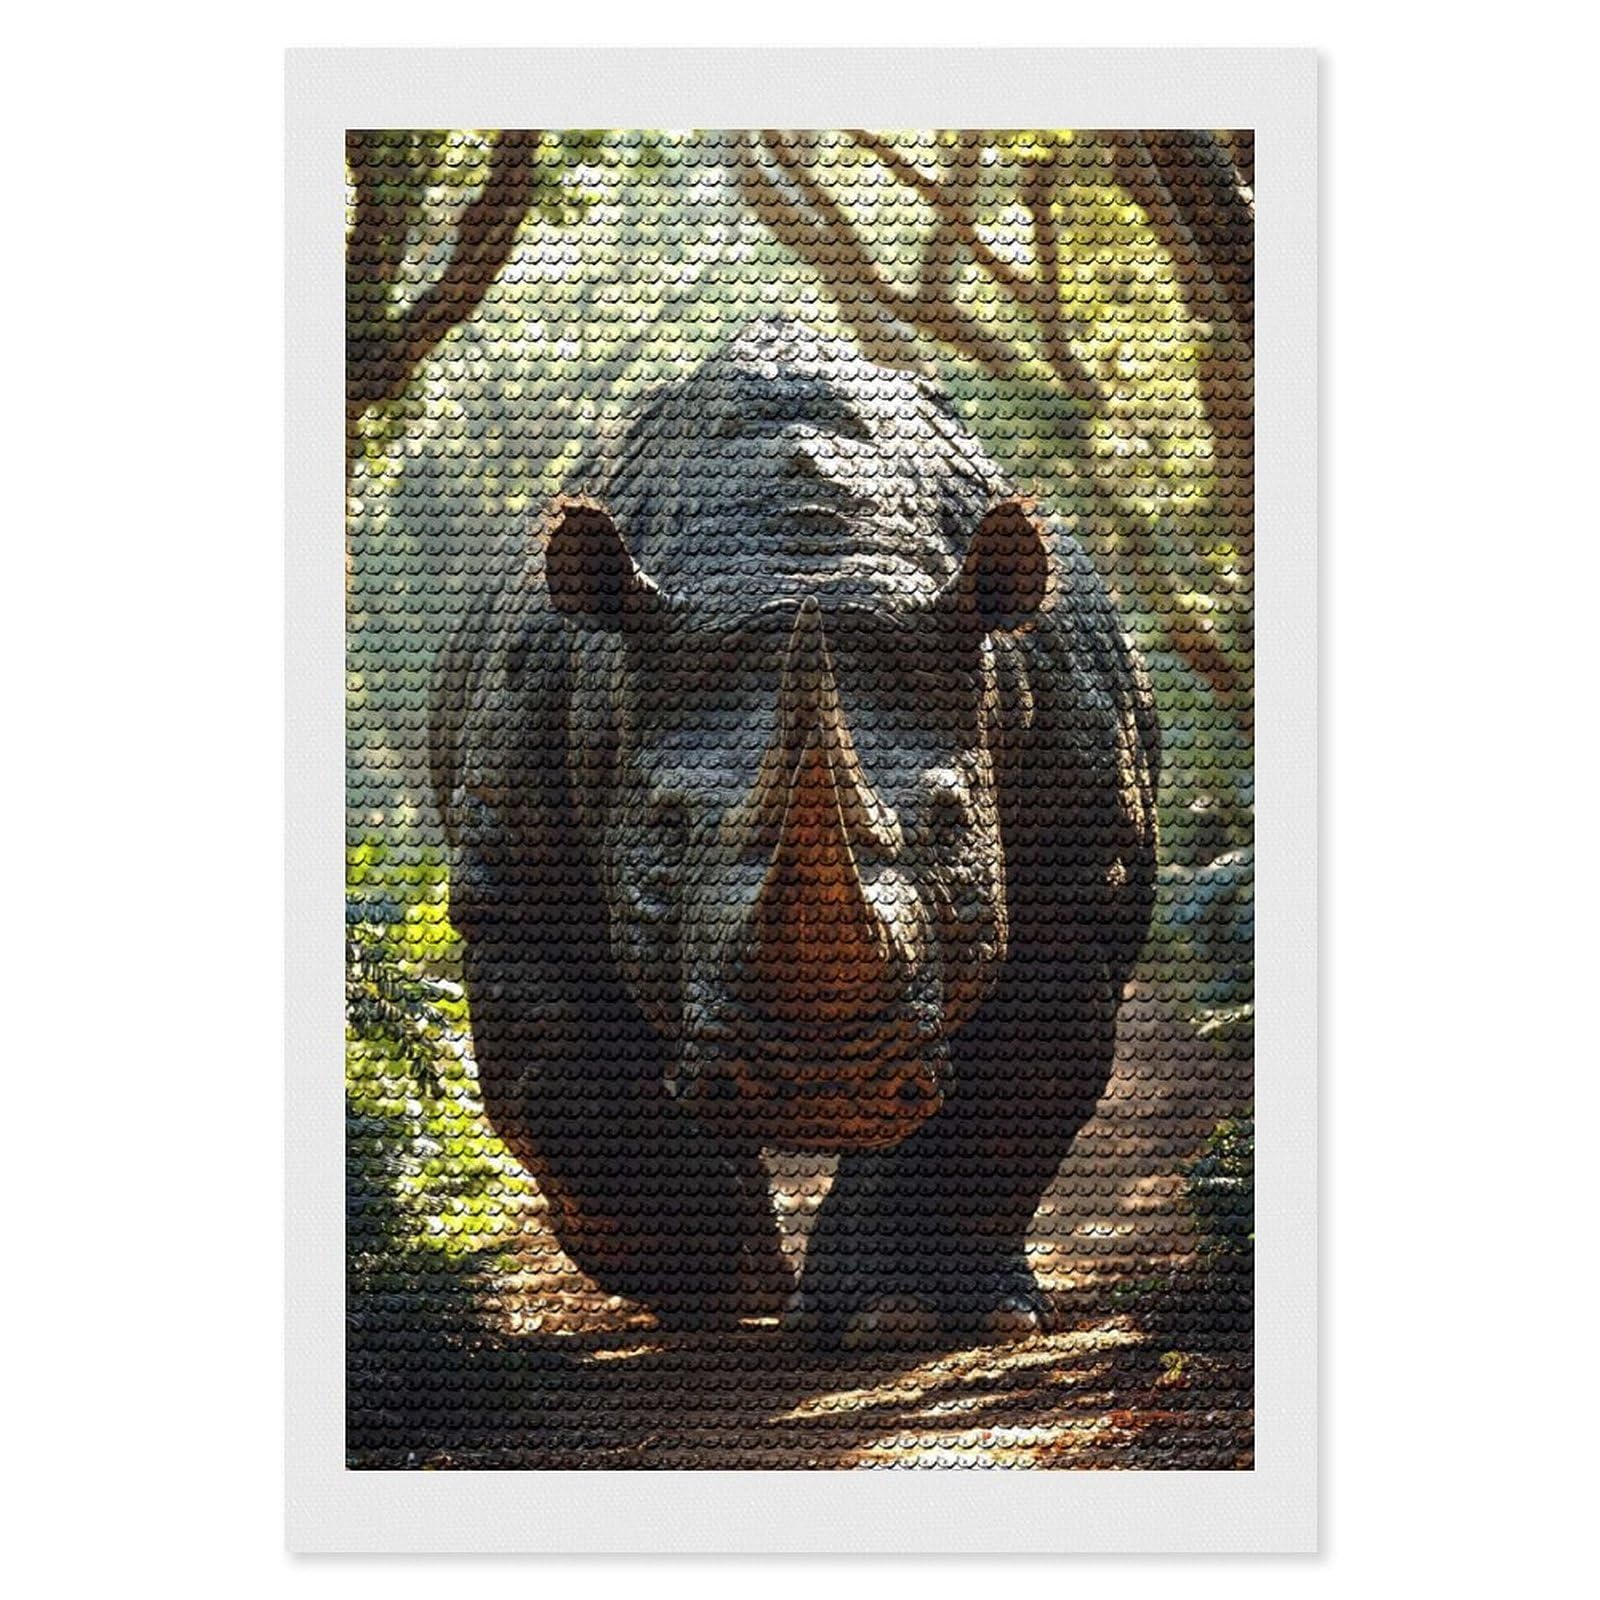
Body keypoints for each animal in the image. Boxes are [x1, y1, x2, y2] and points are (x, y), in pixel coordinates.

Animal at [430, 321, 1158, 1343]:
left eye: (951, 826)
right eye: (665, 828)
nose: (815, 1086)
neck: (797, 564)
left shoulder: (1078, 878)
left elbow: (1020, 1078)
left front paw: (901, 1316)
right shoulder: (513, 880)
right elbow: (561, 1078)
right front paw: (727, 1287)